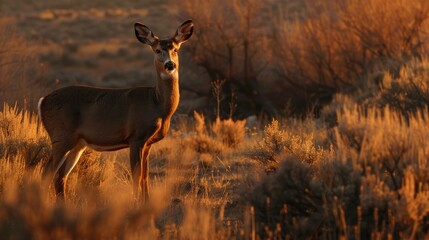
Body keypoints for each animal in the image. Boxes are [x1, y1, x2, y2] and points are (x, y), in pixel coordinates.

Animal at [38, 19, 194, 202]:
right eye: (157, 50)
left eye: (175, 49)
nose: (170, 65)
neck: (157, 104)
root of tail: (42, 101)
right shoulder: (136, 137)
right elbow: (137, 177)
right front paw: (136, 203)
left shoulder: (148, 143)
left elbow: (145, 177)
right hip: (61, 136)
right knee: (47, 173)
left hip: (77, 143)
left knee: (60, 176)